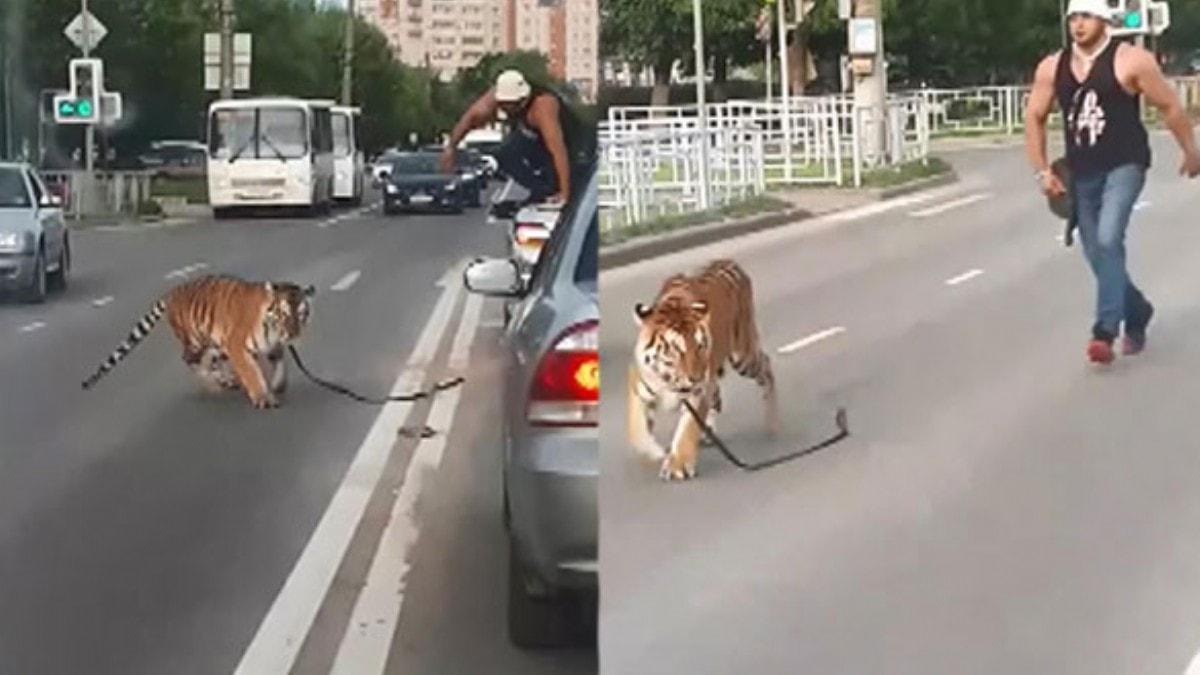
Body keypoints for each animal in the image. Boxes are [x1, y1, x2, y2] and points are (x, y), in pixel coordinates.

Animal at [81, 271, 314, 403]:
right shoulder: (238, 346)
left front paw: (279, 386)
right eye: (284, 314)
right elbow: (252, 373)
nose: (293, 335)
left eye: (301, 314)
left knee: (211, 362)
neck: (273, 330)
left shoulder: (271, 346)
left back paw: (227, 381)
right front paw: (263, 398)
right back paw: (214, 383)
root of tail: (173, 291)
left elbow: (281, 365)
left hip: (216, 344)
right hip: (195, 341)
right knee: (189, 360)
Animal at [628, 257, 777, 478]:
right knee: (717, 398)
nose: (696, 378)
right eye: (676, 350)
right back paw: (708, 432)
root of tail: (729, 261)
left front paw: (678, 465)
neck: (669, 379)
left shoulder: (697, 393)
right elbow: (638, 430)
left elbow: (687, 428)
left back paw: (772, 421)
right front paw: (654, 451)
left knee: (766, 365)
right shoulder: (642, 390)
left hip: (743, 355)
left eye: (699, 346)